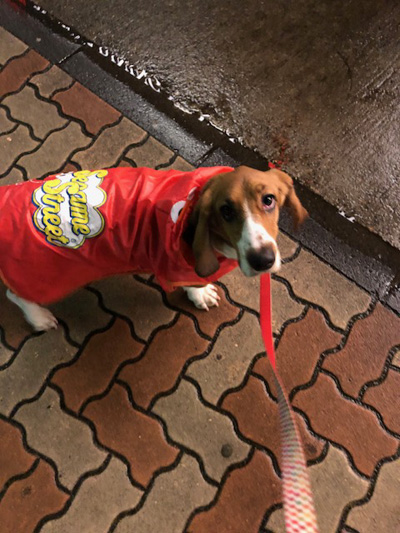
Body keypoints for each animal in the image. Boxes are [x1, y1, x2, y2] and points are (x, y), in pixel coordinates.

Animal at [0, 165, 307, 331]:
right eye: (226, 211)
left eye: (269, 200)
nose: (262, 260)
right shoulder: (178, 268)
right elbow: (192, 284)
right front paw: (200, 295)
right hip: (47, 275)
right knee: (15, 294)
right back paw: (39, 318)